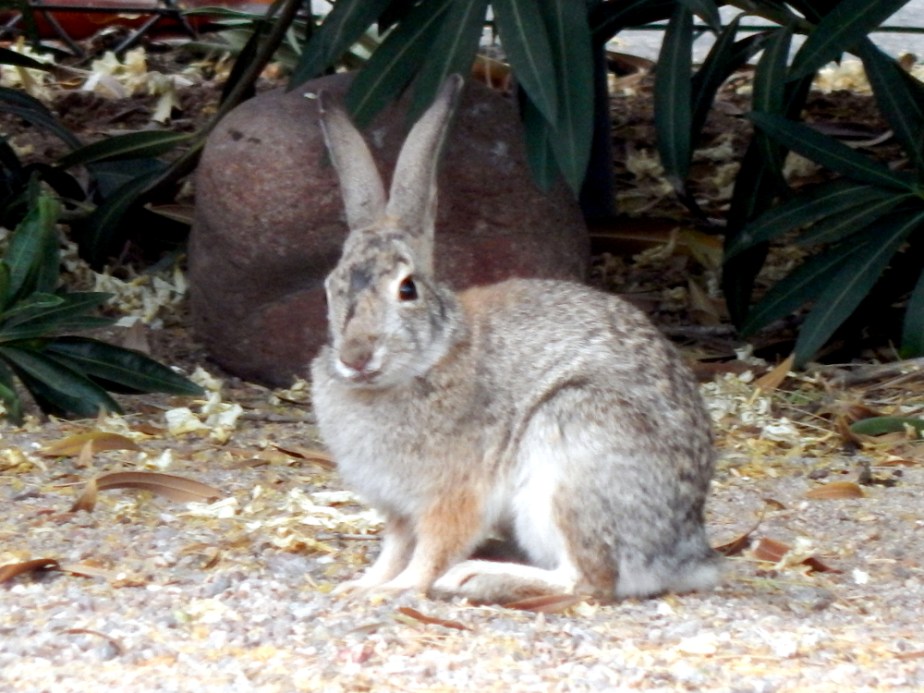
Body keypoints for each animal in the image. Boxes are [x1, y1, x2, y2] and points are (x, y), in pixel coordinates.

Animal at [310, 74, 721, 603]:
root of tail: (687, 557)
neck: (430, 358)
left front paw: (396, 590)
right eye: (330, 288)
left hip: (573, 451)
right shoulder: (398, 509)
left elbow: (431, 550)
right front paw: (362, 584)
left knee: (589, 580)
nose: (356, 356)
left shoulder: (453, 495)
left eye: (407, 289)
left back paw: (478, 578)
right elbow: (395, 547)